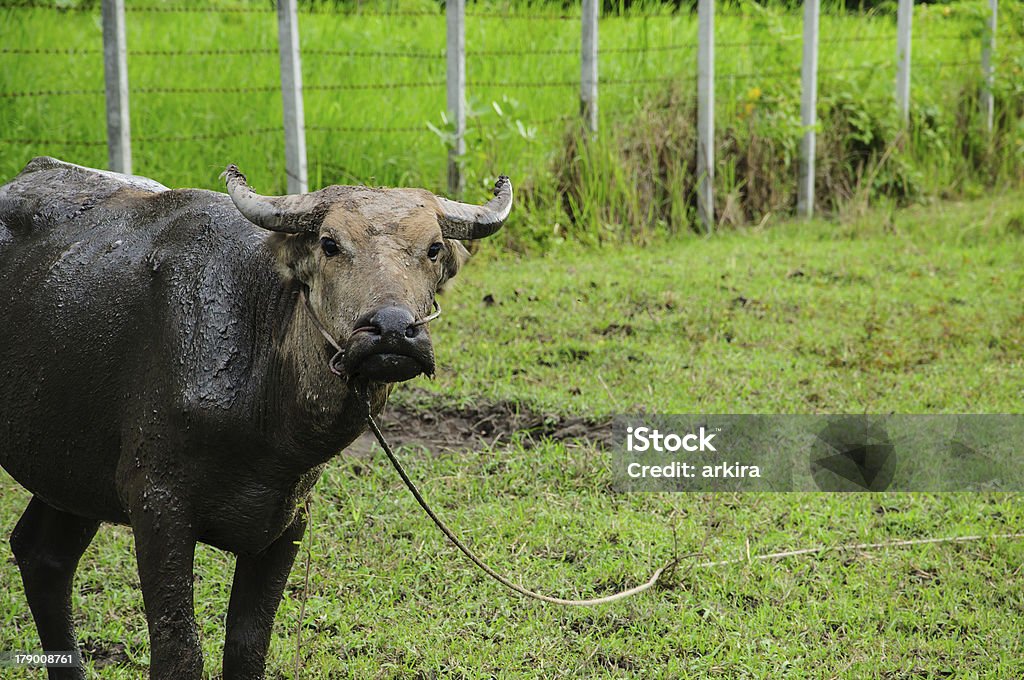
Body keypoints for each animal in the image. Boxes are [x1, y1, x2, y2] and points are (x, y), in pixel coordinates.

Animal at [0, 155, 512, 680]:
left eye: (433, 248)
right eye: (330, 244)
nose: (391, 330)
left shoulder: (288, 523)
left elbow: (248, 647)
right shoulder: (156, 505)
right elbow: (179, 652)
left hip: (71, 470)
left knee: (43, 555)